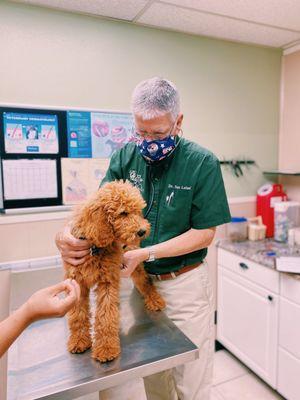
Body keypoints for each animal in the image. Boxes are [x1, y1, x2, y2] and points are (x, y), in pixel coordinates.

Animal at [64, 181, 165, 362]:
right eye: (123, 213)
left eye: (137, 211)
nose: (142, 231)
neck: (94, 248)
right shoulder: (77, 283)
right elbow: (78, 315)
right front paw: (79, 340)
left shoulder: (107, 282)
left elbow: (105, 316)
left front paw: (106, 349)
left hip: (135, 267)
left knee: (145, 281)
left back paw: (155, 300)